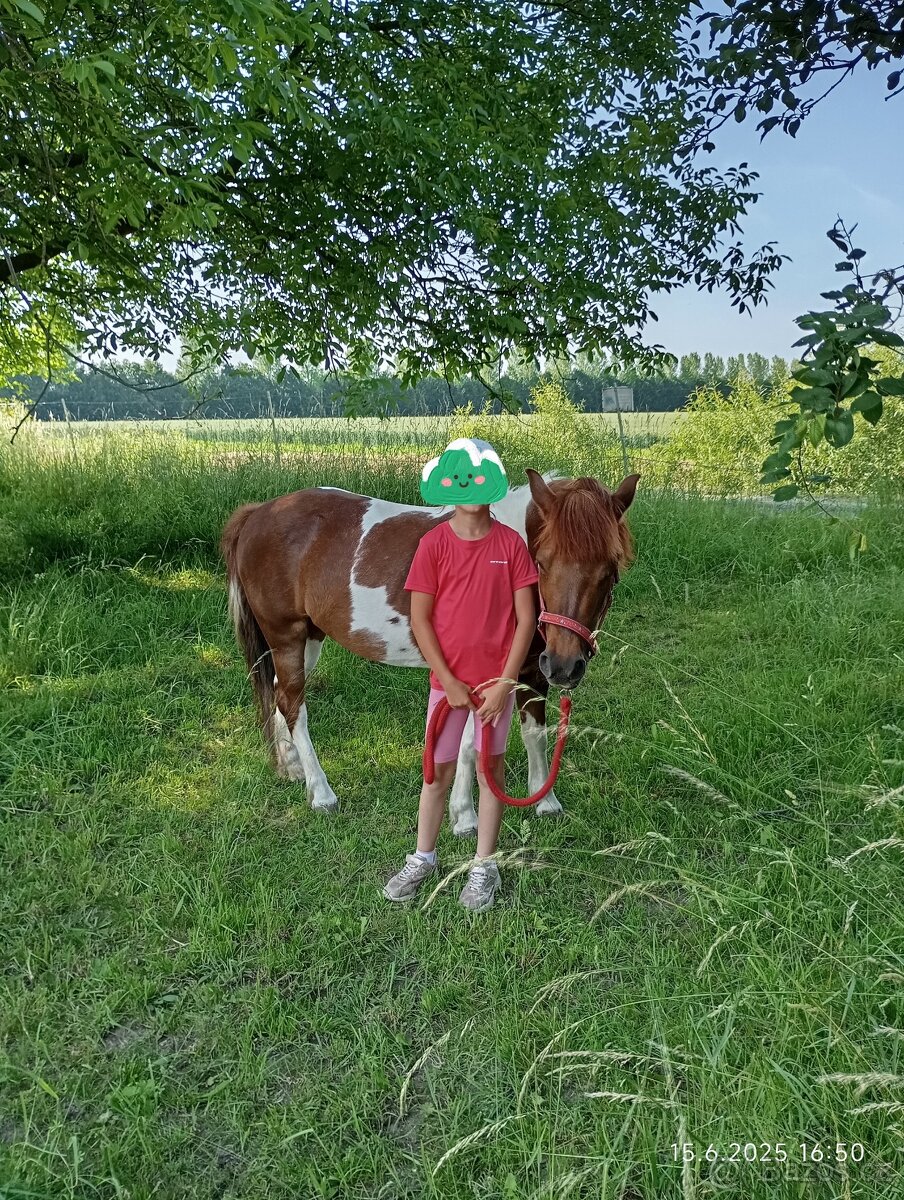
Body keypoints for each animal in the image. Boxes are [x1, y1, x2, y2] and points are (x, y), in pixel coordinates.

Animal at [220, 468, 638, 835]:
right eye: (542, 562)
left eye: (611, 569)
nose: (566, 666)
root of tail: (258, 513)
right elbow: (469, 746)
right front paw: (464, 817)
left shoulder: (533, 672)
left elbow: (535, 732)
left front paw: (544, 802)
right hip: (286, 635)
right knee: (293, 703)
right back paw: (321, 793)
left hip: (309, 636)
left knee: (279, 693)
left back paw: (292, 769)